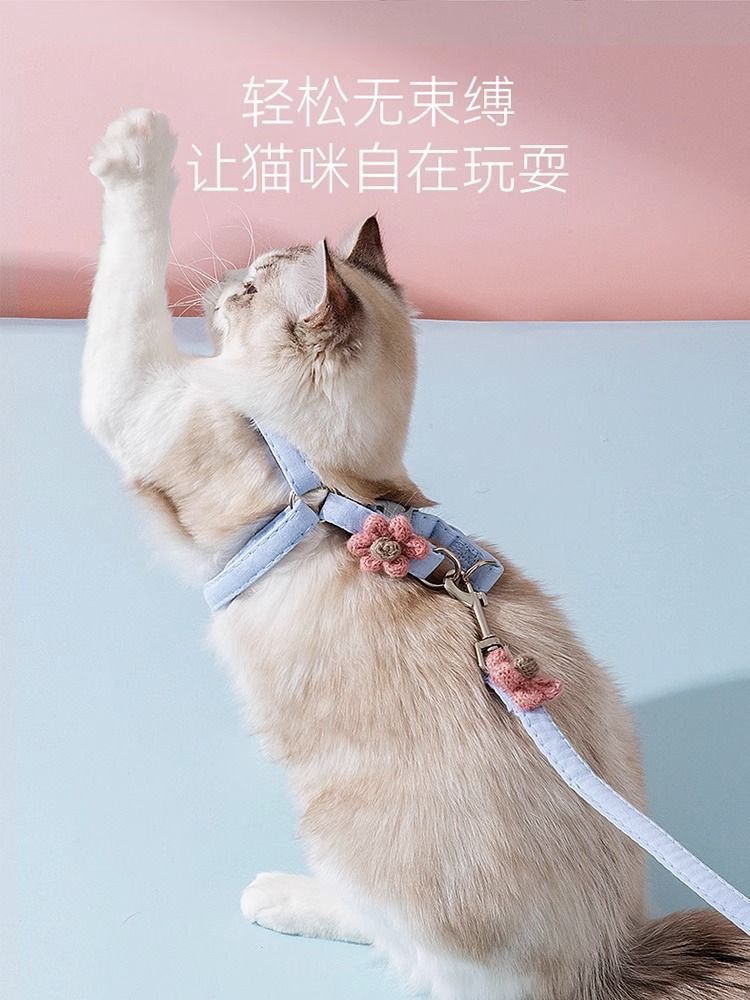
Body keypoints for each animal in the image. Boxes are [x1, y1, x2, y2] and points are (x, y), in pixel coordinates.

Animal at [82, 109, 749, 1000]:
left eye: (252, 290)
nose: (223, 285)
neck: (336, 478)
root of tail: (608, 955)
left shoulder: (138, 393)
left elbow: (130, 259)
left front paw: (139, 144)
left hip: (338, 832)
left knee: (390, 941)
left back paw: (281, 895)